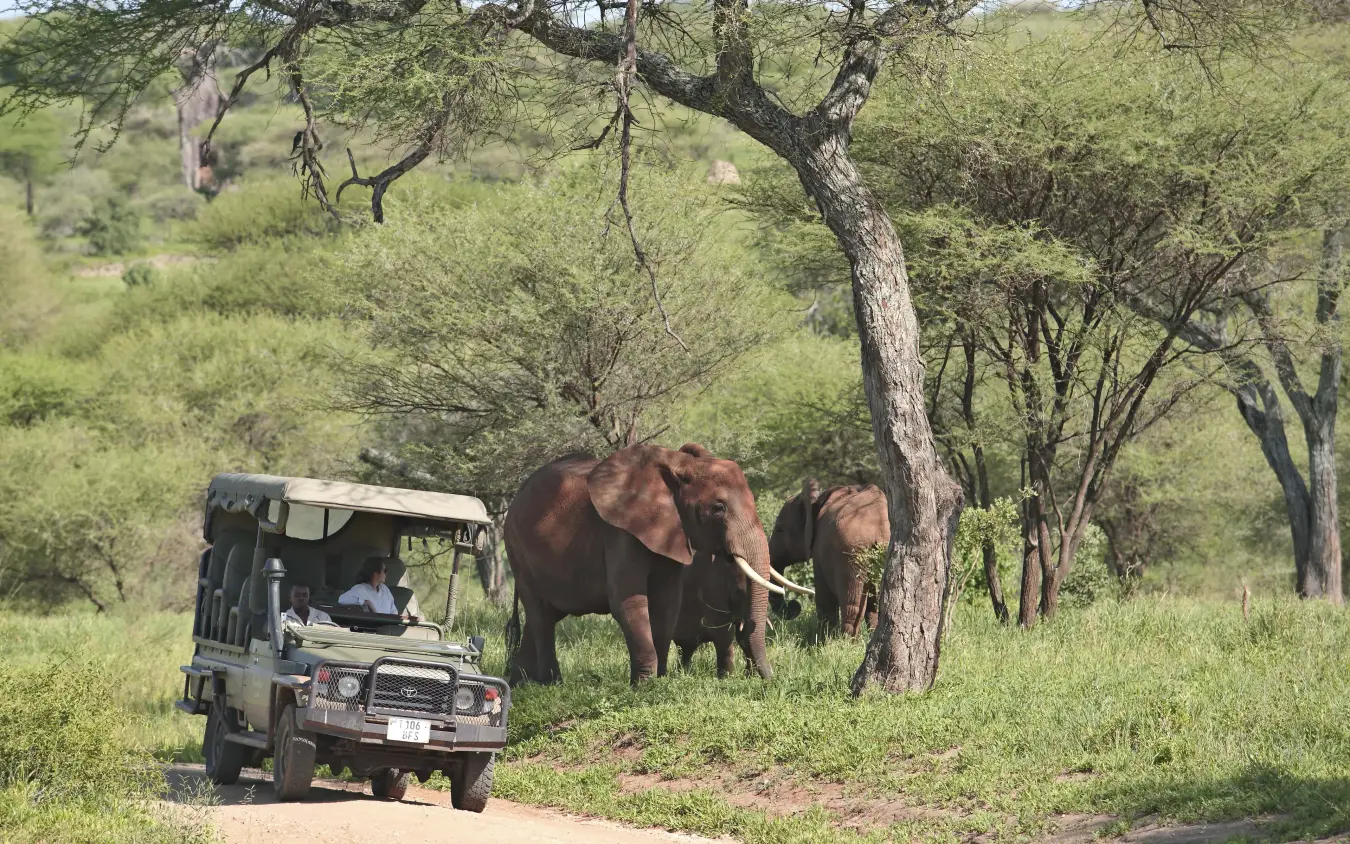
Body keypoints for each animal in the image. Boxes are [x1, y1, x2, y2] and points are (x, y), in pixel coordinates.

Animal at [503, 443, 809, 685]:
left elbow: (667, 602)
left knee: (543, 616)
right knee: (540, 616)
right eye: (718, 509)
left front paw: (661, 679)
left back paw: (520, 683)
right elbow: (629, 602)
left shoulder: (672, 533)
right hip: (517, 549)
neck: (678, 466)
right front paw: (644, 685)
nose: (769, 680)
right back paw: (550, 683)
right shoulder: (619, 534)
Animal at [768, 479, 890, 637]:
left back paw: (847, 641)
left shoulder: (819, 549)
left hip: (851, 554)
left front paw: (823, 640)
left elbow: (823, 596)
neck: (816, 501)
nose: (794, 605)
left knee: (852, 603)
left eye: (779, 529)